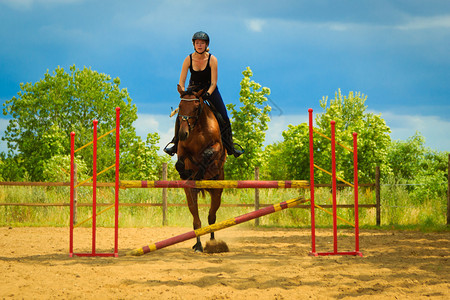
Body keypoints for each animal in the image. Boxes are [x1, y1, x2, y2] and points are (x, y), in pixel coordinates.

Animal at [174, 84, 227, 253]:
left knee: (211, 218)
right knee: (196, 221)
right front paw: (187, 173)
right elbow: (180, 163)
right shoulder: (182, 149)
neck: (197, 129)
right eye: (180, 106)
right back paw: (198, 245)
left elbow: (207, 153)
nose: (183, 133)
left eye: (196, 107)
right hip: (190, 195)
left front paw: (199, 172)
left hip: (217, 191)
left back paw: (213, 243)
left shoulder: (217, 146)